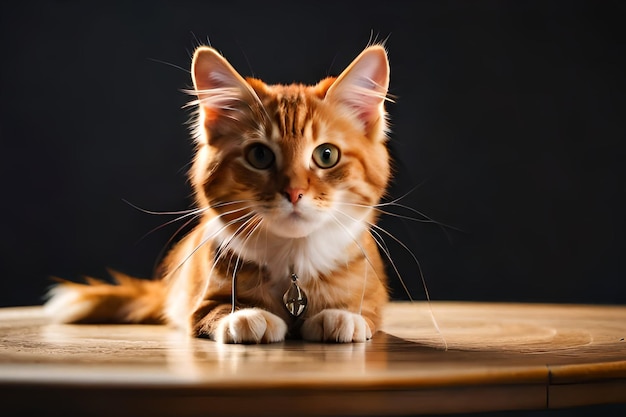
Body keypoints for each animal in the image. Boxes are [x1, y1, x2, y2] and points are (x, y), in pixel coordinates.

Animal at [45, 44, 390, 342]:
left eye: (326, 155)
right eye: (260, 156)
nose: (293, 192)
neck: (294, 262)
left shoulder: (371, 294)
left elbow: (362, 311)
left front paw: (342, 316)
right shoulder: (202, 300)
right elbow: (217, 309)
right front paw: (248, 316)